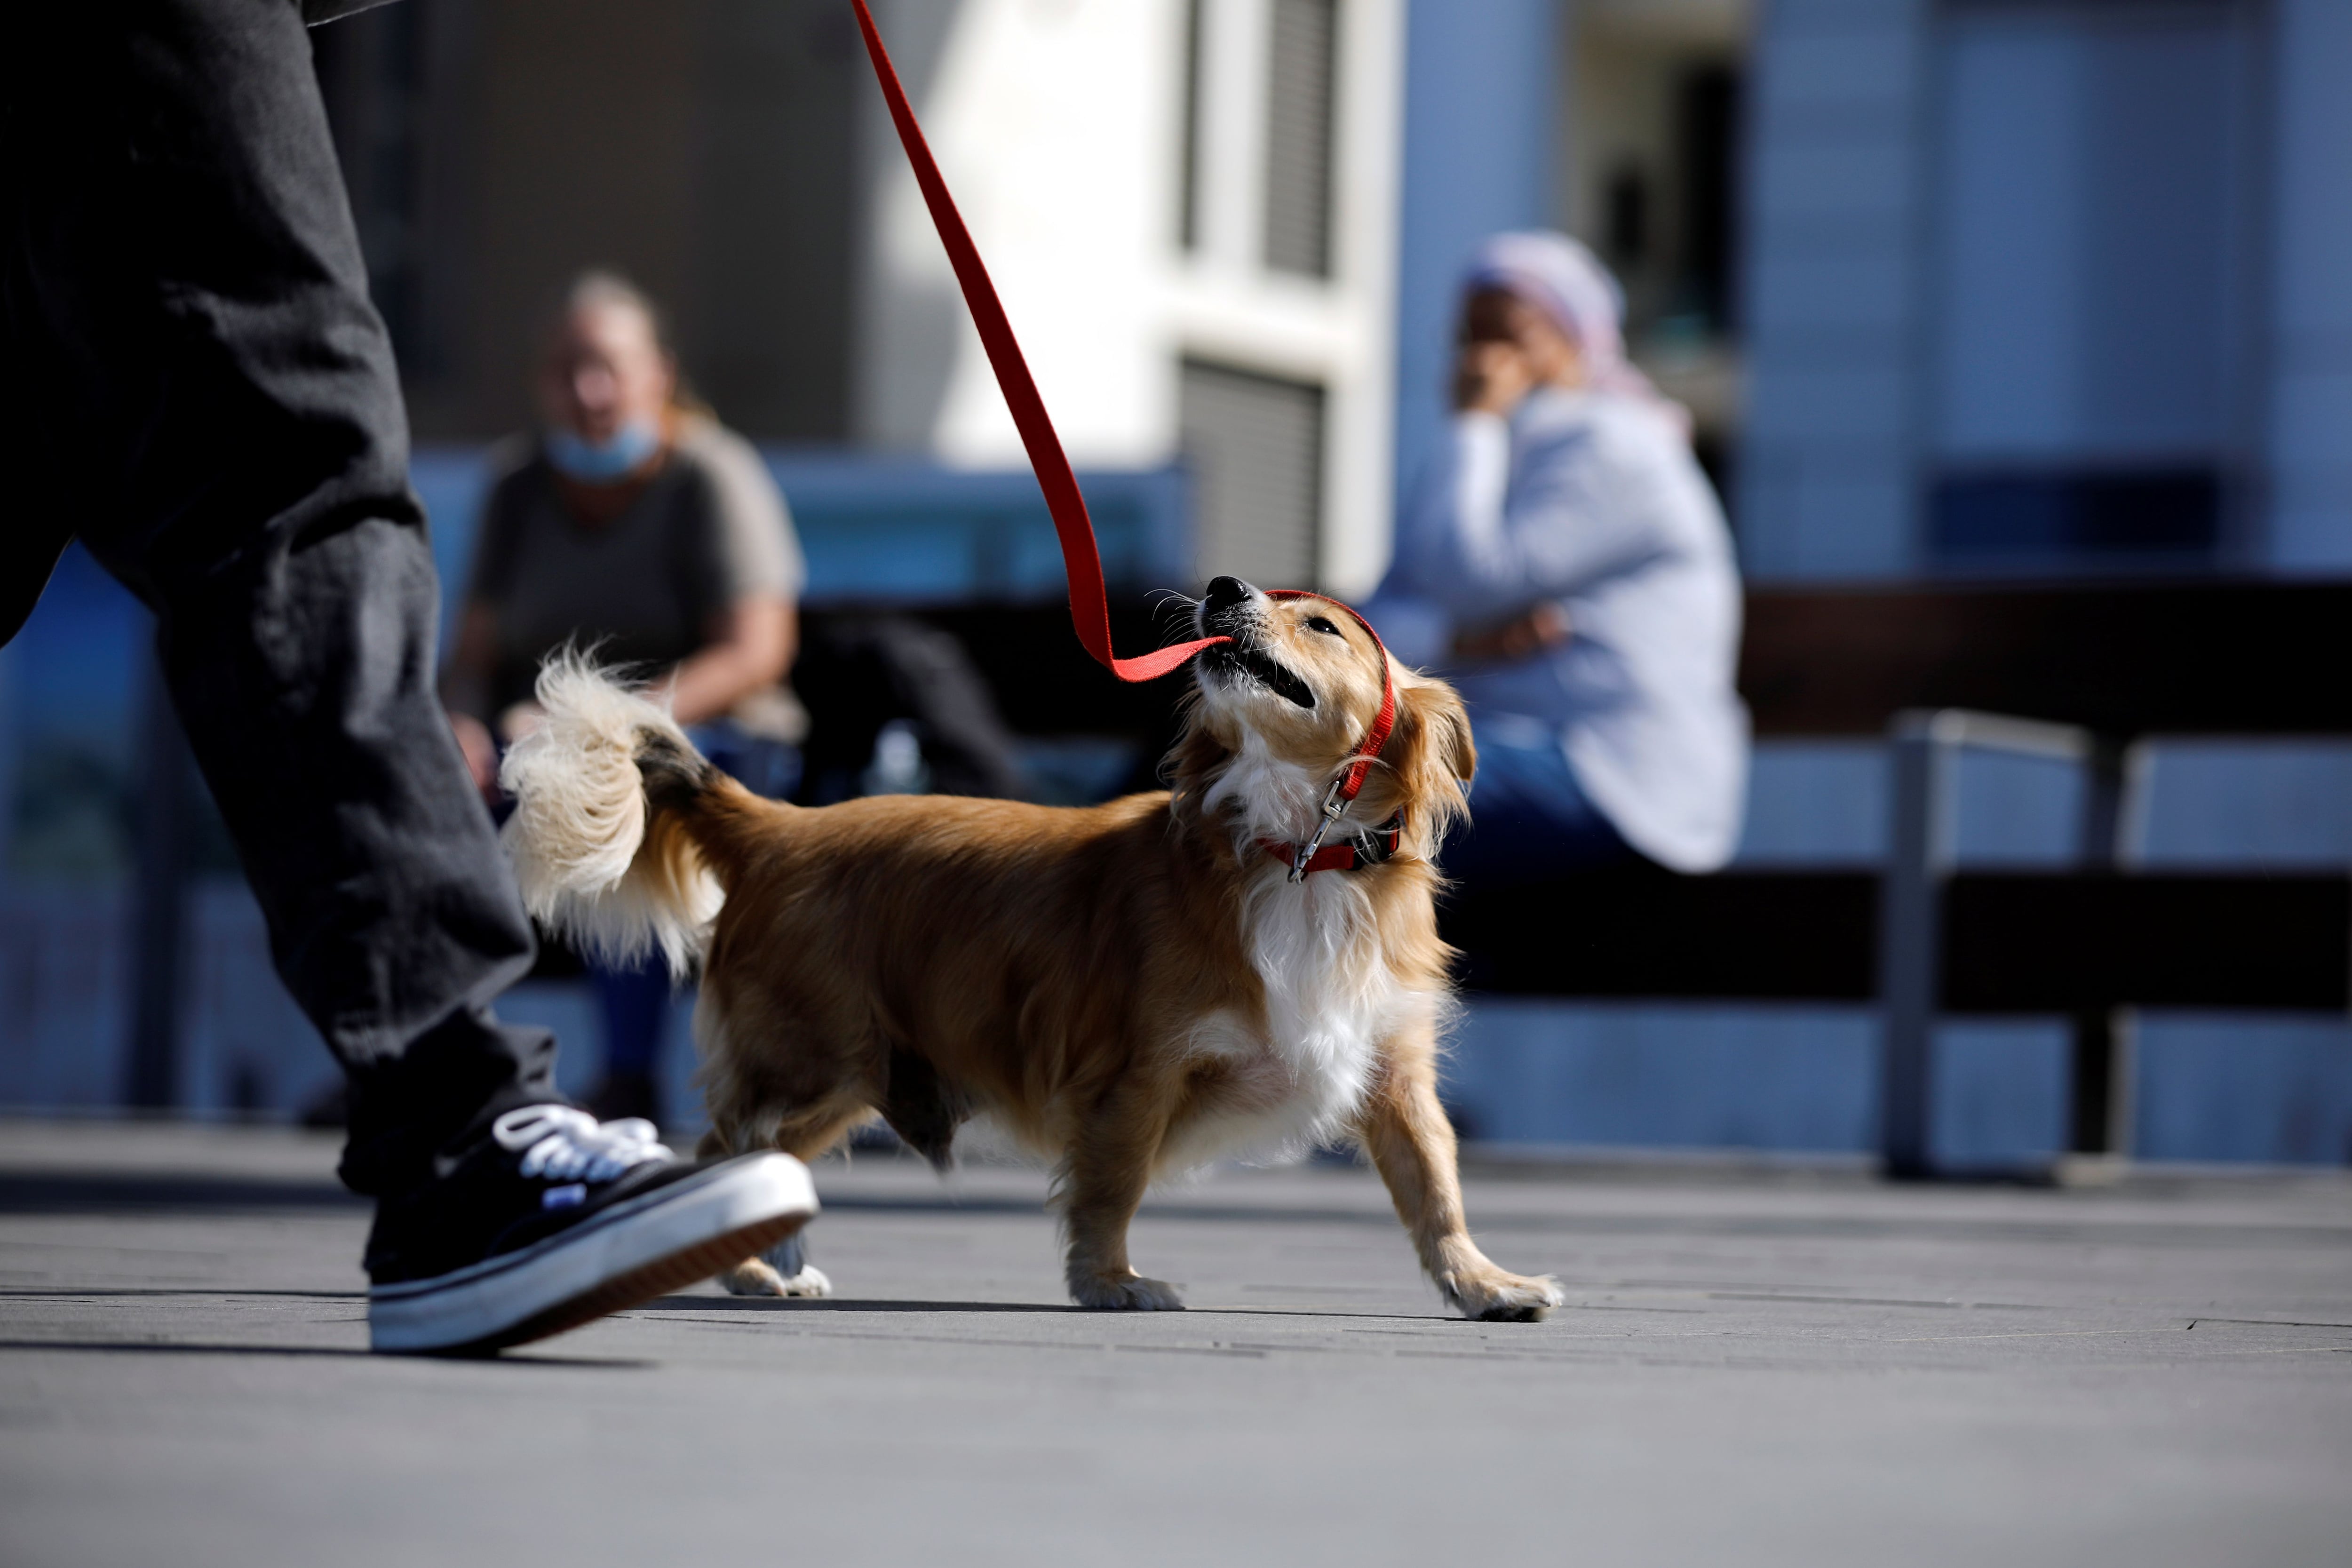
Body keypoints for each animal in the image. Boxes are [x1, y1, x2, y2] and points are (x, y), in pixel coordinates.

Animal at [496, 573, 1562, 1316]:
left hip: (848, 1074)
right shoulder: (1135, 1074)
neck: (1297, 850)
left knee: (764, 1152)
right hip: (807, 1060)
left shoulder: (1394, 1073)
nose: (1222, 587)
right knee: (724, 1148)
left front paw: (1483, 1284)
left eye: (1323, 626)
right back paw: (745, 1260)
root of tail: (777, 825)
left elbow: (1435, 1191)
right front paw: (1112, 1281)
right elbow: (1112, 1186)